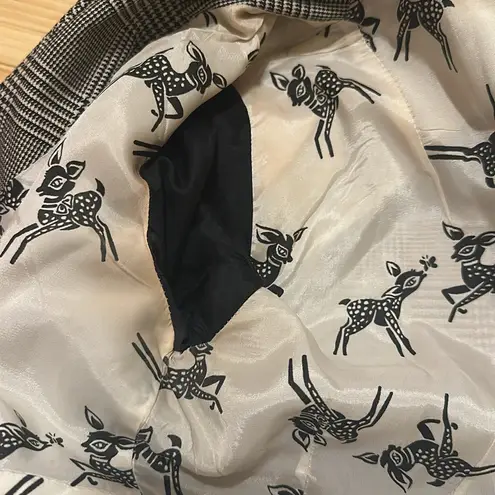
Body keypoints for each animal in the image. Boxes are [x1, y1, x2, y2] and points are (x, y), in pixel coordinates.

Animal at [355, 393, 495, 492]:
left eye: (394, 455)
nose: (389, 450)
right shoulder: (439, 451)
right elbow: (445, 429)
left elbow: (425, 426)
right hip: (449, 468)